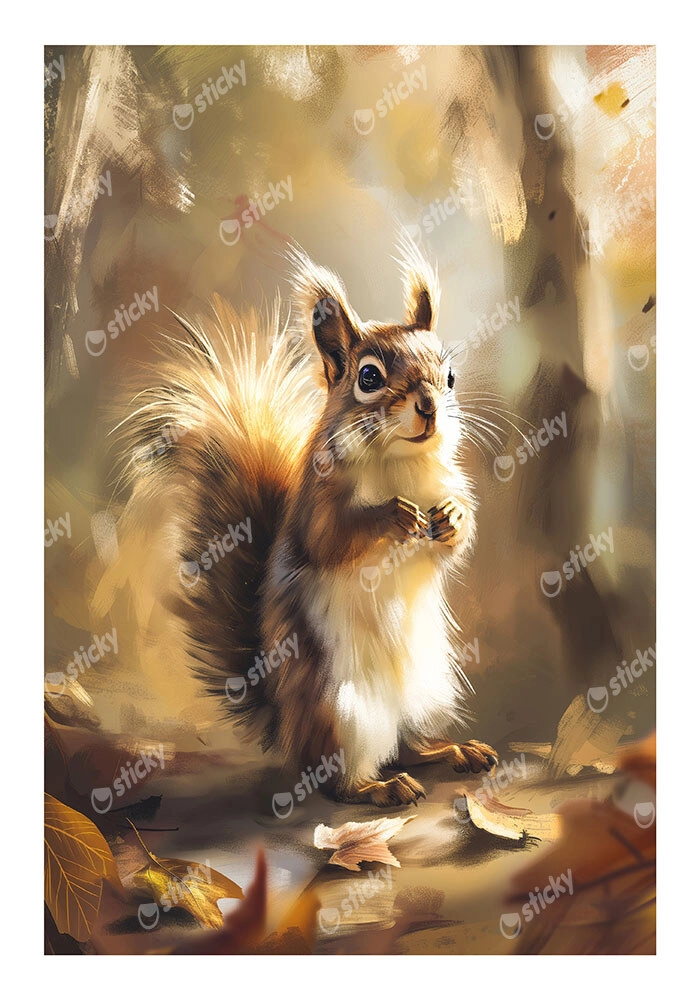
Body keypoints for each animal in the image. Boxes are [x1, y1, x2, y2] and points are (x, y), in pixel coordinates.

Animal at [119, 238, 498, 807]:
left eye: (449, 376)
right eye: (368, 377)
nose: (430, 406)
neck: (402, 462)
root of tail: (288, 730)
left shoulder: (447, 480)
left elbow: (461, 534)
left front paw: (451, 518)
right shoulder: (318, 504)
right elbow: (331, 539)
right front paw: (393, 515)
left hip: (428, 693)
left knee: (408, 747)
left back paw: (452, 750)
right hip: (339, 712)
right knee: (337, 779)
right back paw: (378, 787)